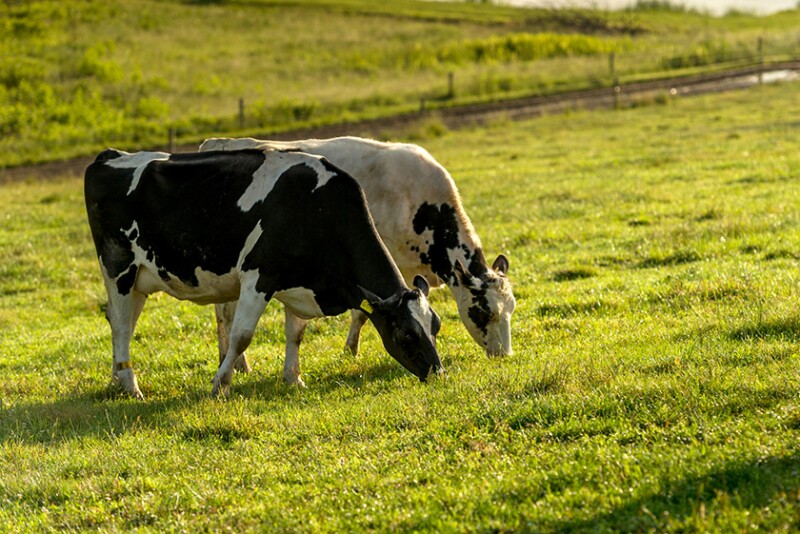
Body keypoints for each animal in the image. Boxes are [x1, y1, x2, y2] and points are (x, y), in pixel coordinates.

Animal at [84, 147, 443, 398]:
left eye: (436, 326)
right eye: (406, 334)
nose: (438, 372)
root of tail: (110, 156)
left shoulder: (300, 282)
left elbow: (296, 333)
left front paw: (294, 379)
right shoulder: (259, 277)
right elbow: (241, 336)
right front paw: (220, 385)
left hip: (140, 280)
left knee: (124, 324)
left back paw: (117, 378)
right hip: (119, 268)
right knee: (120, 325)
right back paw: (131, 386)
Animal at [200, 136, 515, 382]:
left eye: (510, 309)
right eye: (484, 312)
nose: (504, 354)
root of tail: (216, 143)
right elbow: (362, 313)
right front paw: (350, 349)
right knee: (225, 315)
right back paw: (236, 363)